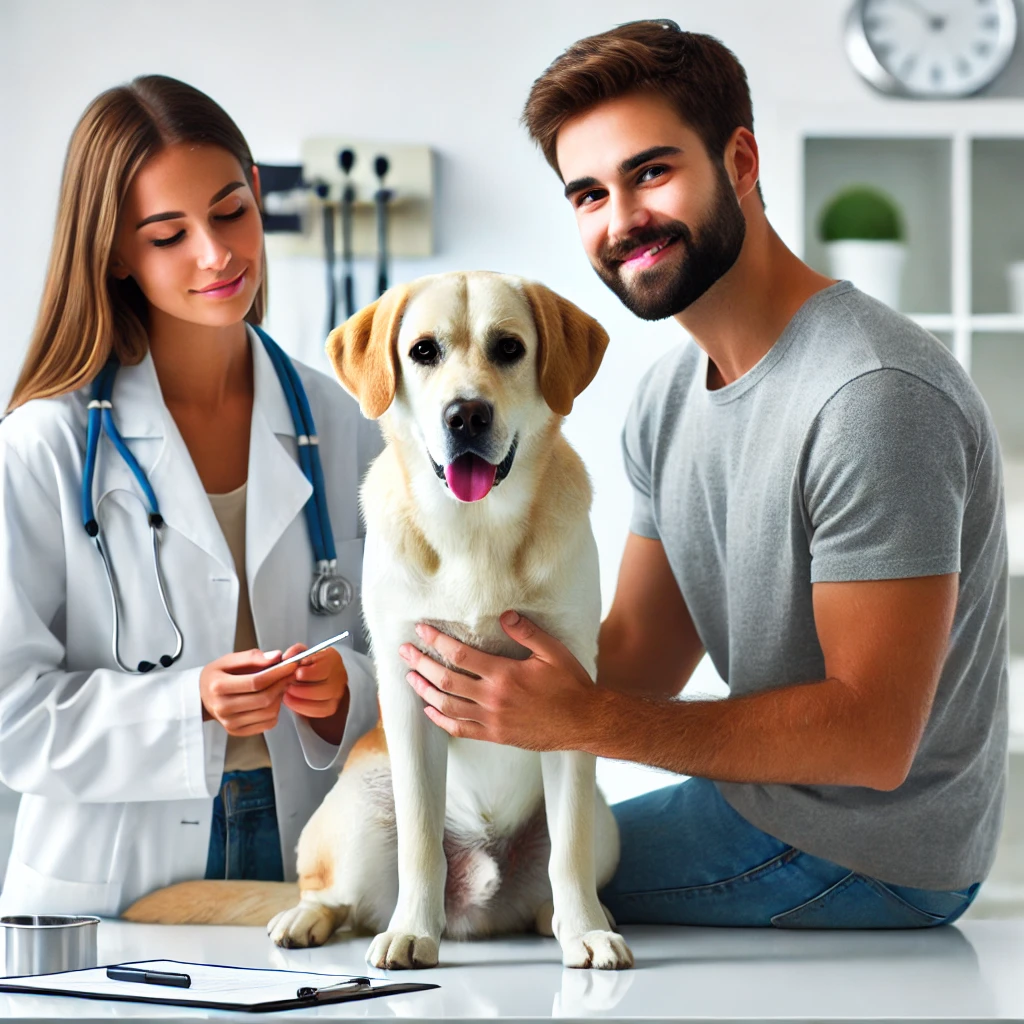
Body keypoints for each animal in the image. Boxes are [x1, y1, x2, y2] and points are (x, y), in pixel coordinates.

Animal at [124, 274, 634, 974]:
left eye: (509, 348)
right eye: (424, 351)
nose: (465, 415)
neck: (475, 531)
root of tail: (477, 905)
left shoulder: (569, 694)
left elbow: (570, 848)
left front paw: (585, 931)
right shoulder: (407, 694)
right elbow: (420, 842)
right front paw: (412, 932)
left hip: (605, 823)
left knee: (558, 868)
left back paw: (568, 917)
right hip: (357, 814)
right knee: (335, 894)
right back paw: (309, 918)